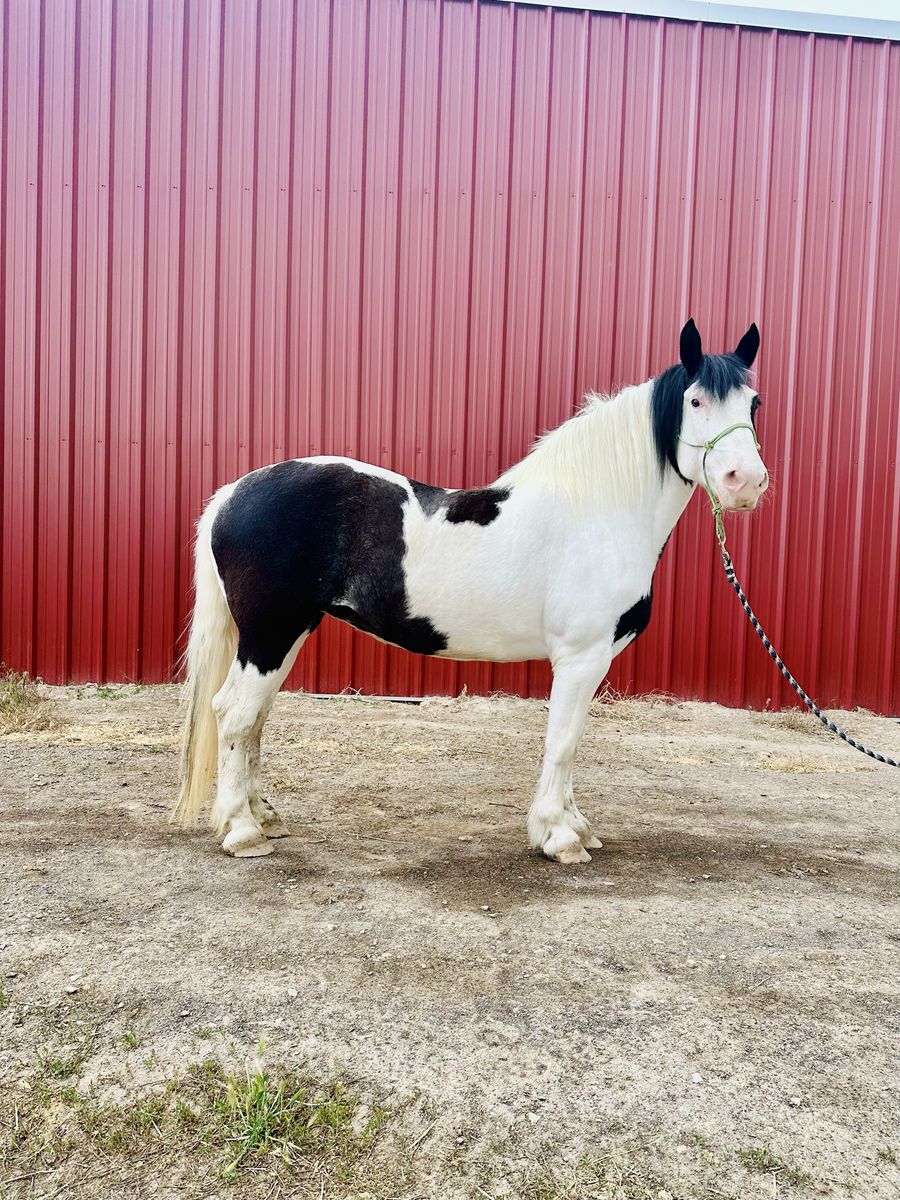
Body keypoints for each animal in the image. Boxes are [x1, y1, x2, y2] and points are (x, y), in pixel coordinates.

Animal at [174, 319, 767, 863]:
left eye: (754, 403)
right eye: (695, 400)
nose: (745, 482)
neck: (596, 512)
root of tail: (233, 493)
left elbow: (571, 743)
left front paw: (576, 825)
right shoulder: (581, 657)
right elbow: (562, 742)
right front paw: (559, 837)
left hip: (286, 635)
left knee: (253, 719)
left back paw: (263, 817)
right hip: (270, 634)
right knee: (234, 713)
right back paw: (241, 831)